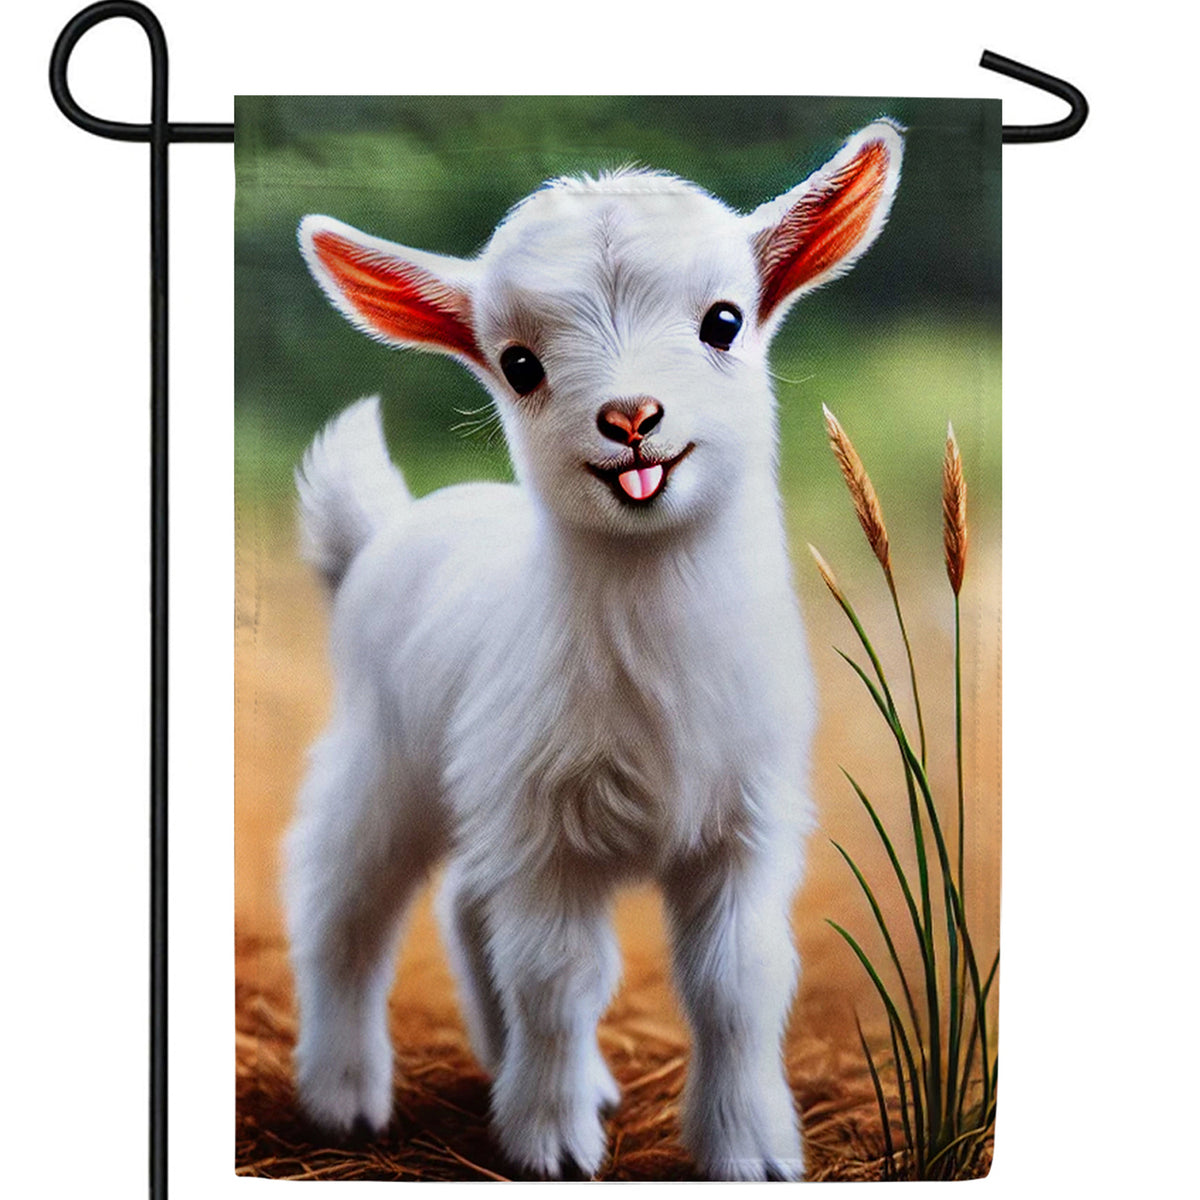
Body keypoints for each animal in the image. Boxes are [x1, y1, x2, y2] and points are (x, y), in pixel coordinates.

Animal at [284, 120, 903, 1180]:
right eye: (519, 364)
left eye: (725, 321)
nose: (630, 419)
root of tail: (384, 529)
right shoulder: (547, 829)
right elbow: (560, 980)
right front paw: (553, 1144)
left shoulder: (745, 820)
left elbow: (739, 985)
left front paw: (750, 1149)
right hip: (387, 758)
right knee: (343, 905)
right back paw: (345, 1093)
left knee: (466, 908)